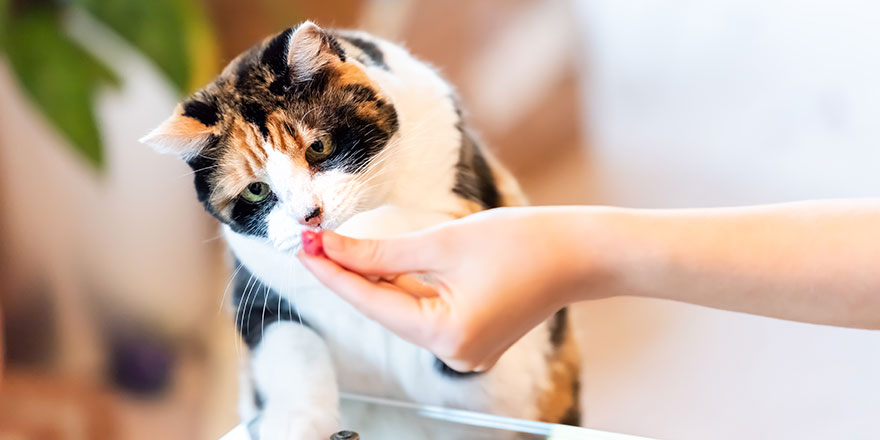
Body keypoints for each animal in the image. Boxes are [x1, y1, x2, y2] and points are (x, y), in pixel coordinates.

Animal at [141, 21, 580, 440]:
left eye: (318, 147)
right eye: (256, 189)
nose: (310, 216)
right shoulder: (256, 296)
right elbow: (290, 346)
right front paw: (294, 424)